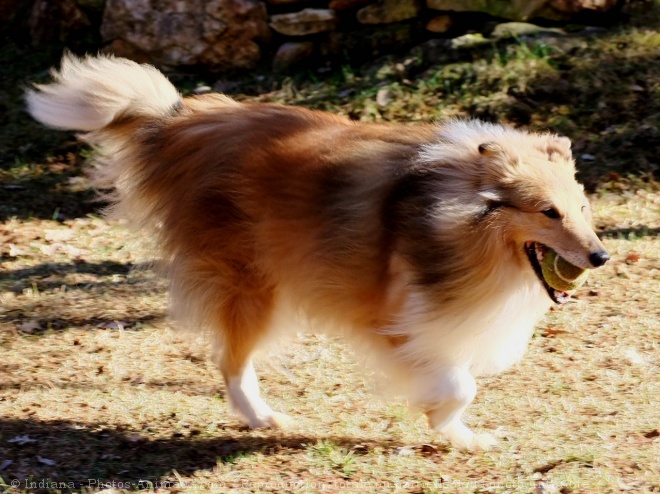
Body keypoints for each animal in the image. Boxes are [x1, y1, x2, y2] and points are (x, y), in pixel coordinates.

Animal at [28, 55, 612, 452]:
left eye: (582, 207)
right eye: (547, 213)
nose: (601, 258)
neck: (455, 215)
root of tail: (180, 121)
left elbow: (456, 380)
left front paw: (460, 436)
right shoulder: (397, 321)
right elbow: (457, 383)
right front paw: (444, 419)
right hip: (254, 285)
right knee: (230, 360)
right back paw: (262, 418)